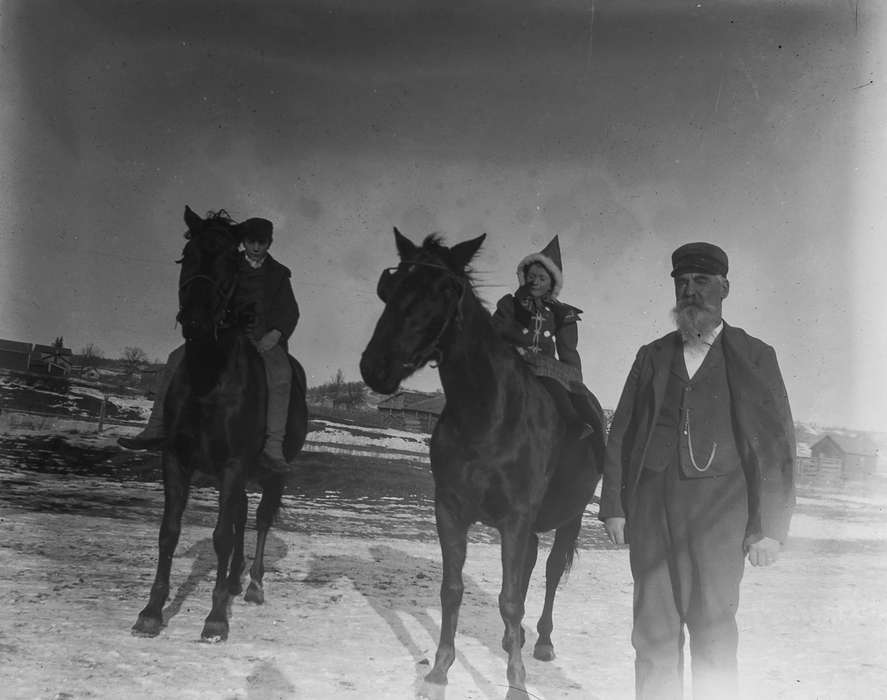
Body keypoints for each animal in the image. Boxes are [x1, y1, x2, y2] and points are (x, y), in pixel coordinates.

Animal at [132, 205, 308, 644]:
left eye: (231, 260)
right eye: (186, 256)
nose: (195, 321)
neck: (210, 379)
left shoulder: (232, 465)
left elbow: (222, 535)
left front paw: (215, 620)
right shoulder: (176, 460)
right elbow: (170, 532)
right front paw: (151, 612)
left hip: (271, 473)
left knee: (259, 520)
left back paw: (253, 586)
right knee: (242, 515)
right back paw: (231, 581)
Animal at [360, 228, 604, 696]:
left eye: (444, 290)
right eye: (391, 286)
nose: (376, 367)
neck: (488, 414)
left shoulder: (516, 517)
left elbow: (509, 599)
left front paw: (515, 683)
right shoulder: (450, 511)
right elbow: (452, 589)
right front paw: (438, 672)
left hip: (571, 517)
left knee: (548, 571)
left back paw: (541, 641)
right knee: (529, 566)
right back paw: (517, 638)